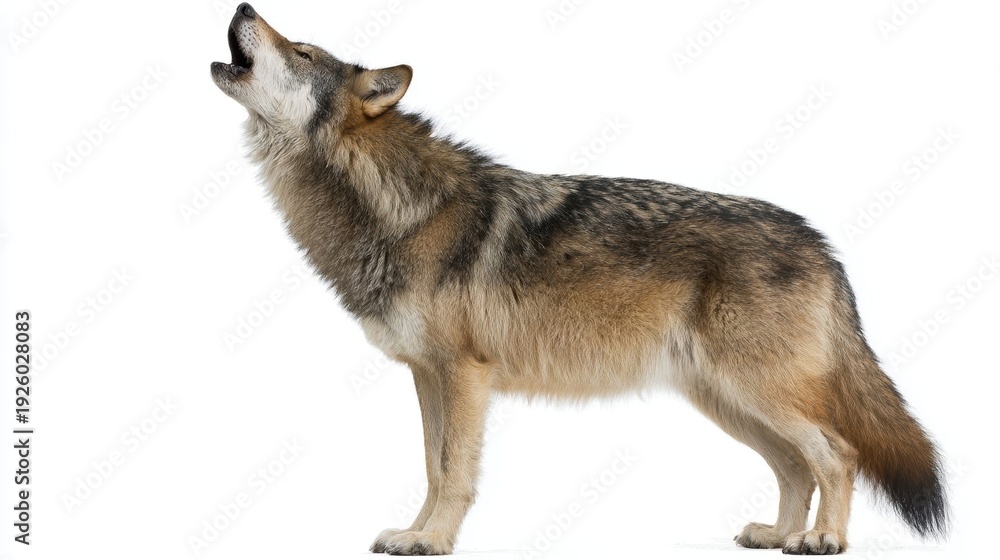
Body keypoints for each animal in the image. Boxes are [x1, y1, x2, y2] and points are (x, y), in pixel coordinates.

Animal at [211, 4, 948, 555]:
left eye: (303, 51)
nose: (243, 6)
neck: (395, 205)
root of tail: (823, 242)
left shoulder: (464, 374)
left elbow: (453, 471)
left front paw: (433, 542)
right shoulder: (425, 374)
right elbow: (431, 464)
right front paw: (415, 534)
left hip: (755, 391)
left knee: (838, 454)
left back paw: (822, 539)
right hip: (726, 400)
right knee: (796, 465)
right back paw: (777, 534)